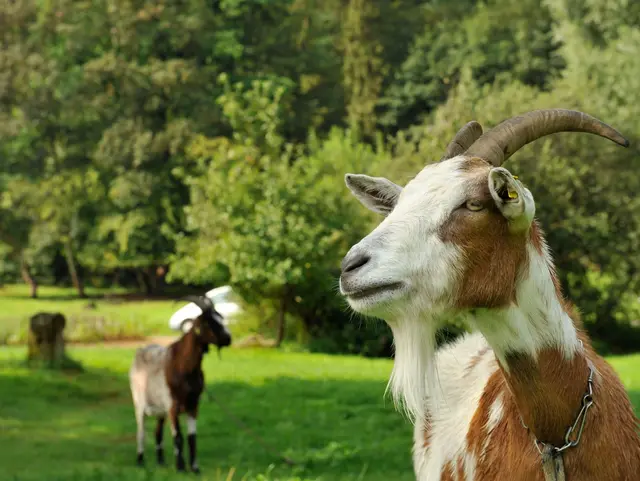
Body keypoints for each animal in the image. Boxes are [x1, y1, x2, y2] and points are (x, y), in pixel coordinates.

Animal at [129, 294, 231, 470]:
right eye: (208, 322)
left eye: (220, 318)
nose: (228, 338)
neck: (183, 368)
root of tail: (140, 352)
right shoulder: (172, 406)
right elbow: (178, 437)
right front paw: (181, 467)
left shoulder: (193, 405)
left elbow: (192, 438)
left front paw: (195, 468)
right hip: (140, 402)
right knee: (141, 431)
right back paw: (140, 460)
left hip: (160, 410)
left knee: (157, 432)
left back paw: (161, 462)